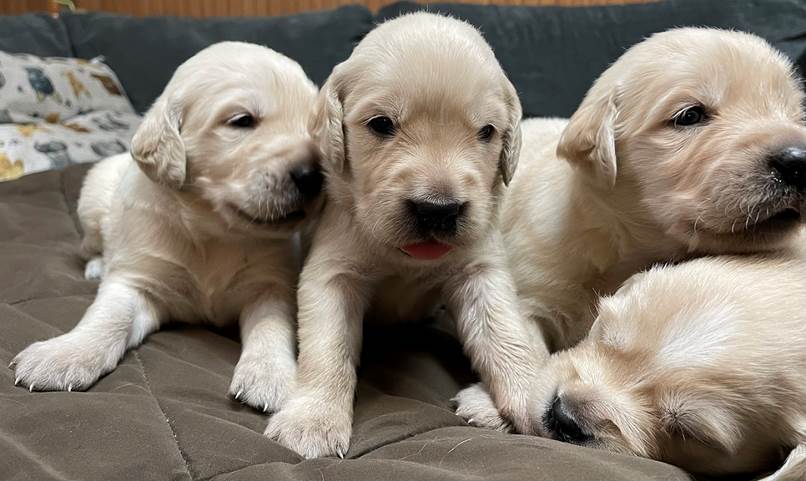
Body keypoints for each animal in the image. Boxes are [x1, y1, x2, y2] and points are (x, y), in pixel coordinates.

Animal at [11, 40, 324, 412]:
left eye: (315, 126)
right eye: (242, 121)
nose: (314, 175)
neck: (213, 232)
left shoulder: (271, 283)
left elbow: (272, 324)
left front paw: (271, 374)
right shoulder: (138, 281)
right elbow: (108, 316)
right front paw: (64, 355)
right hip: (93, 197)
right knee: (91, 247)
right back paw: (97, 266)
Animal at [268, 13, 548, 458]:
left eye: (487, 131)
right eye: (381, 124)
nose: (439, 209)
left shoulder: (479, 268)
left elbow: (503, 331)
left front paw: (530, 393)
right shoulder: (332, 272)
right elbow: (327, 348)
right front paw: (312, 420)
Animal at [458, 27, 804, 424]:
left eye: (794, 113)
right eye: (690, 116)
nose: (799, 161)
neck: (621, 247)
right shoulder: (531, 291)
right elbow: (521, 342)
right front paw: (491, 404)